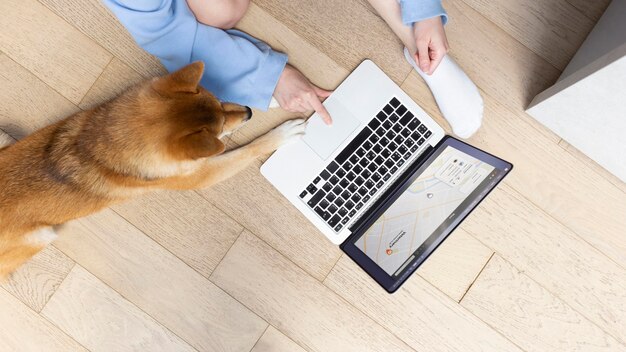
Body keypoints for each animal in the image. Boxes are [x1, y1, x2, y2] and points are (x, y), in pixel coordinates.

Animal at [0, 62, 306, 278]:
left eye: (219, 101)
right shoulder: (201, 175)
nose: (249, 113)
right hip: (42, 236)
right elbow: (250, 148)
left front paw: (270, 96)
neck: (103, 142)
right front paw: (281, 134)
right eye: (218, 131)